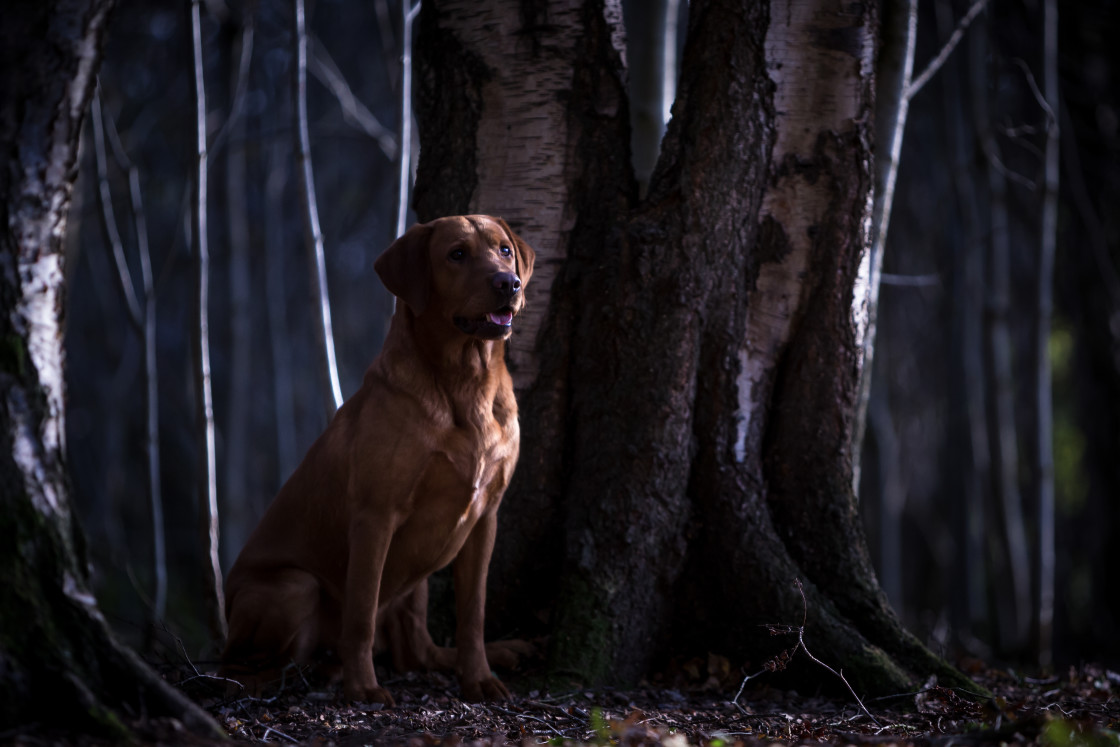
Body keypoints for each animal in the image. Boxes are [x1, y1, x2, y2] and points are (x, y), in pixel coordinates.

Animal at [220, 215, 535, 707]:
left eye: (504, 250)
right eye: (457, 254)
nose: (509, 283)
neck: (467, 381)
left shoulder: (487, 518)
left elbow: (473, 614)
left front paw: (479, 676)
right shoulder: (376, 516)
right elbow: (362, 612)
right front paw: (362, 685)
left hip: (415, 583)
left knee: (418, 651)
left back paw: (501, 650)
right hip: (294, 587)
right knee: (238, 662)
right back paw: (282, 676)